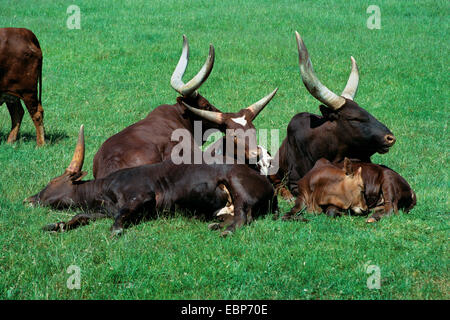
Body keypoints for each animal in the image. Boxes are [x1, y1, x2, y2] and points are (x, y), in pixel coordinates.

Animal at [26, 126, 278, 236]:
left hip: (236, 182)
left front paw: (116, 230)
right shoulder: (103, 210)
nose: (30, 198)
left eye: (52, 182)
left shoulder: (142, 196)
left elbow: (120, 216)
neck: (104, 189)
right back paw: (217, 225)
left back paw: (226, 231)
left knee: (244, 216)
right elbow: (80, 215)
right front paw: (57, 225)